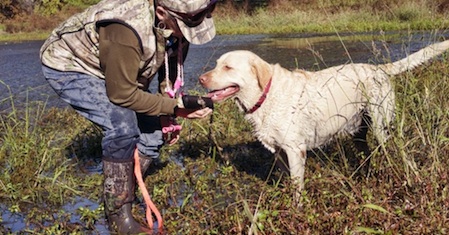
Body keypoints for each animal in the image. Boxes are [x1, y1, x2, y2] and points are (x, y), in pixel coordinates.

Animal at [199, 40, 448, 194]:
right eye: (217, 64)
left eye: (228, 67)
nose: (201, 79)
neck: (265, 95)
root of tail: (378, 69)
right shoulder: (279, 152)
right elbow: (287, 180)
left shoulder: (295, 150)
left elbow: (297, 187)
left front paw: (297, 210)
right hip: (359, 132)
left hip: (382, 128)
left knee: (400, 152)